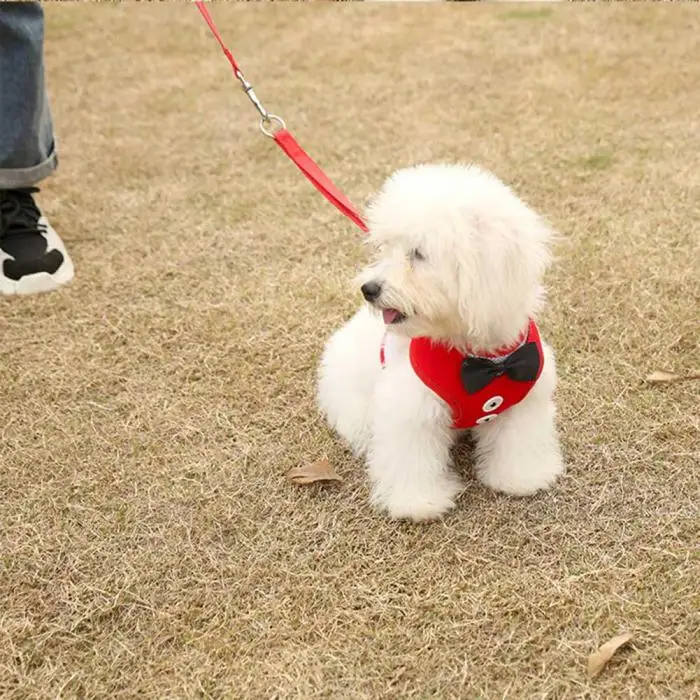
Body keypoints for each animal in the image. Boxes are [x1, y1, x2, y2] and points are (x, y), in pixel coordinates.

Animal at [318, 165, 564, 520]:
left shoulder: (523, 400)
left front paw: (522, 477)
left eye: (418, 254)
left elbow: (519, 442)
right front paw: (418, 503)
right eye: (386, 248)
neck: (476, 359)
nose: (369, 289)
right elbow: (411, 458)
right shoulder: (409, 409)